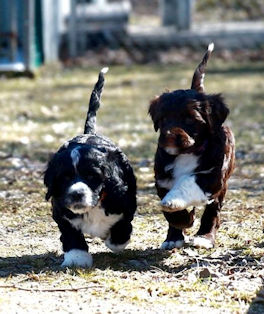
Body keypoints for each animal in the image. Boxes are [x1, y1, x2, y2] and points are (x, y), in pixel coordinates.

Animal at [43, 68, 137, 268]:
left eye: (92, 177)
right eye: (64, 178)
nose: (77, 194)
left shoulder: (126, 204)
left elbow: (121, 226)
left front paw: (115, 240)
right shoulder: (61, 210)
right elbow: (71, 235)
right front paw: (77, 258)